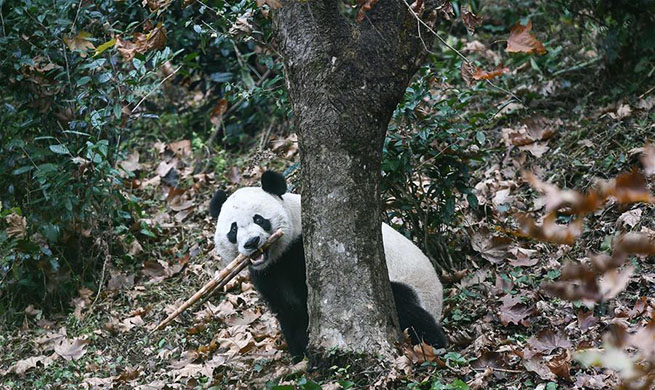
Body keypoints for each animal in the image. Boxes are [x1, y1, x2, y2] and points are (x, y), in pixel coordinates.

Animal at [210, 171, 446, 356]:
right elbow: (288, 309)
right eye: (233, 229)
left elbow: (307, 300)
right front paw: (300, 353)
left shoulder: (302, 251)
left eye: (259, 219)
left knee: (406, 309)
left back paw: (433, 344)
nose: (252, 242)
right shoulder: (269, 273)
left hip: (403, 284)